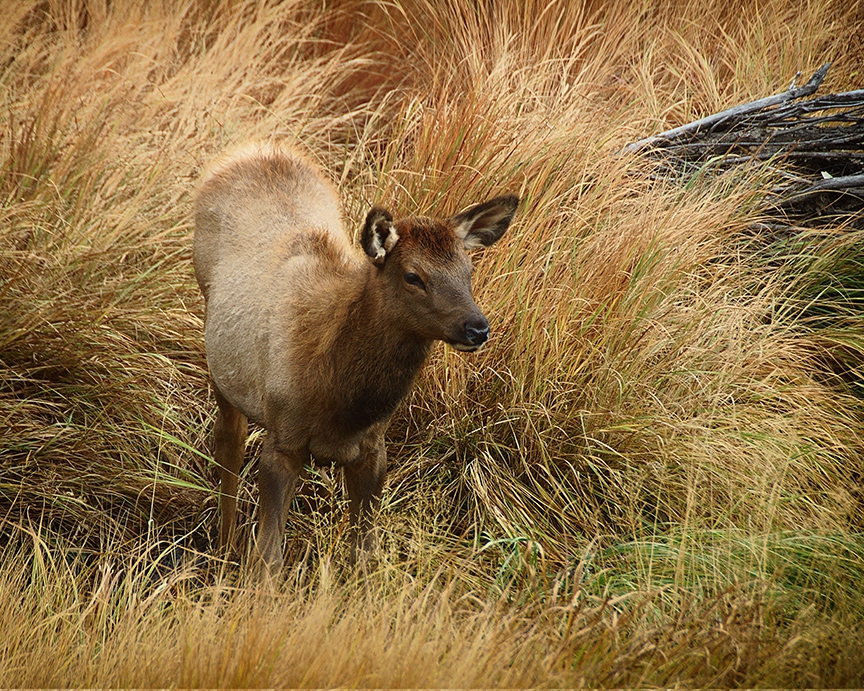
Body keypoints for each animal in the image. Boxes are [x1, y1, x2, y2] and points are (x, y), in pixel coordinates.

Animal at [193, 142, 518, 575]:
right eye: (413, 276)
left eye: (468, 270)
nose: (477, 328)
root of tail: (259, 149)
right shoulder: (282, 438)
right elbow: (268, 558)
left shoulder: (374, 446)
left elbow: (365, 554)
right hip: (219, 352)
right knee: (229, 443)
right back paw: (223, 548)